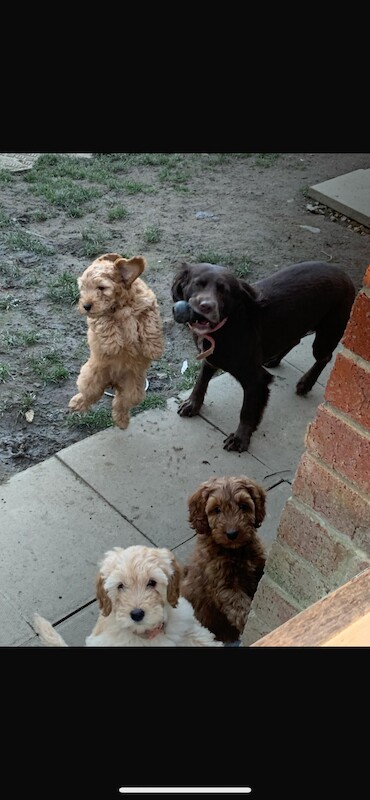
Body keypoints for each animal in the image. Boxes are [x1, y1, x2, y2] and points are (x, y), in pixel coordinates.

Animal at [68, 252, 163, 428]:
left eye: (101, 288)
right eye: (83, 288)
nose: (85, 306)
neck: (122, 305)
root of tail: (113, 382)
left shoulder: (149, 306)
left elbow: (150, 325)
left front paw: (154, 349)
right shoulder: (97, 317)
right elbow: (105, 321)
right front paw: (113, 346)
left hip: (134, 390)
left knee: (121, 403)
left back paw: (122, 421)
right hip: (90, 378)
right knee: (89, 395)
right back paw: (77, 403)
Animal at [181, 476, 266, 644]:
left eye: (243, 506)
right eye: (216, 509)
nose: (232, 534)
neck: (236, 551)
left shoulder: (259, 566)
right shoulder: (223, 586)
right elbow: (241, 607)